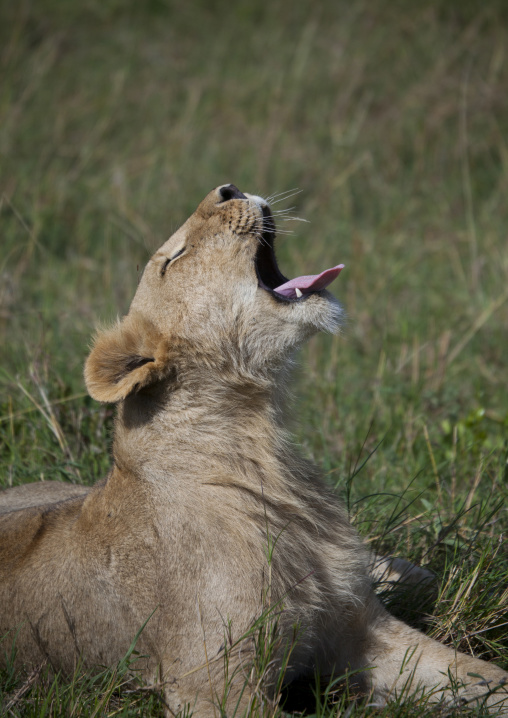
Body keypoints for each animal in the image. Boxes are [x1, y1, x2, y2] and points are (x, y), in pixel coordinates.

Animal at [0, 184, 506, 716]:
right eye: (174, 258)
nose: (229, 188)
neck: (259, 441)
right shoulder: (210, 685)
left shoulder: (362, 628)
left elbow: (486, 677)